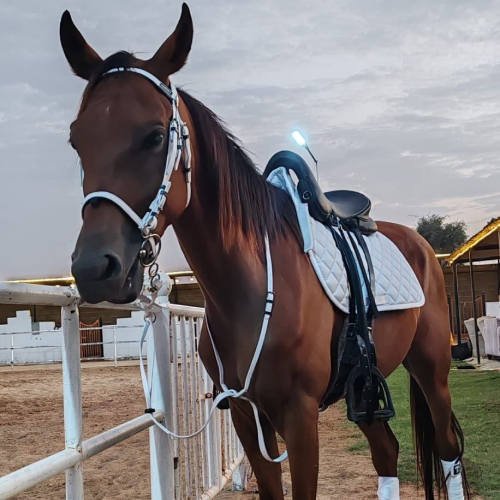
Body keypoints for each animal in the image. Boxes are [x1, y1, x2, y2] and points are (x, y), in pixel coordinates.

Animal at [58, 4, 468, 500]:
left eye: (155, 136)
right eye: (76, 140)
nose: (94, 268)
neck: (248, 289)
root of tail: (422, 246)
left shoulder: (300, 417)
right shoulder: (245, 415)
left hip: (432, 370)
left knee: (447, 450)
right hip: (366, 389)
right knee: (386, 451)